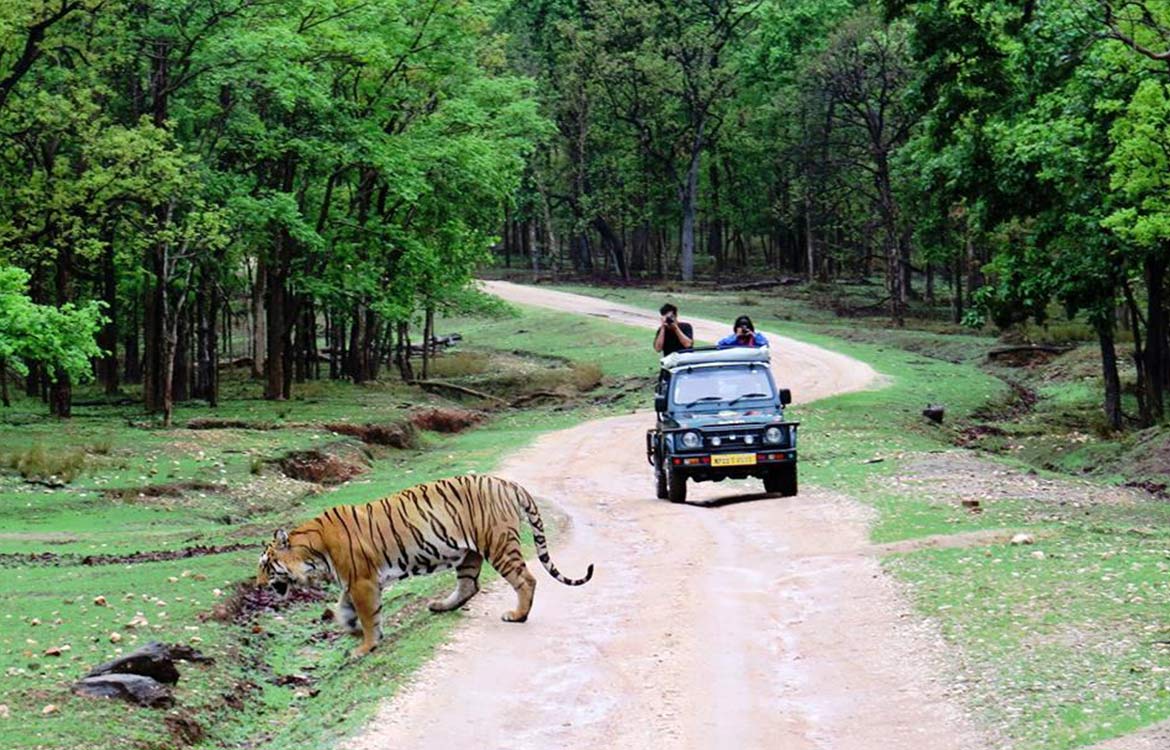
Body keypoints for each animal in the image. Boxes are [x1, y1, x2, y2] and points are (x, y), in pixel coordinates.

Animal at [255, 472, 594, 655]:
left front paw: (365, 646)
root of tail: (507, 483)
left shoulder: (362, 581)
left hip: (497, 543)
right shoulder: (353, 582)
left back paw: (517, 615)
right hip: (469, 553)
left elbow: (368, 616)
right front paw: (351, 628)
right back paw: (440, 606)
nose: (258, 587)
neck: (313, 553)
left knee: (526, 580)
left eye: (266, 565)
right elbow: (345, 609)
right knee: (469, 586)